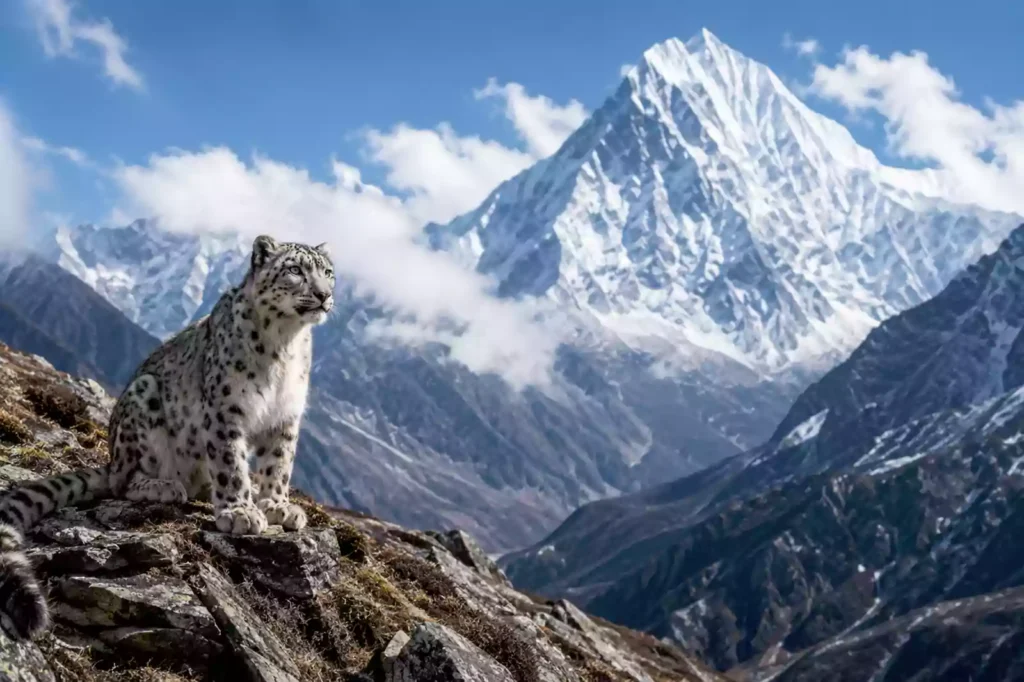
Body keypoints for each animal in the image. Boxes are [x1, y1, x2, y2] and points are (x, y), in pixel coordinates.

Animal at [0, 234, 334, 640]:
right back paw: (163, 486)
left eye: (328, 272)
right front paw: (240, 511)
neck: (285, 345)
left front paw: (276, 504)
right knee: (124, 483)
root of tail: (111, 459)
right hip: (142, 403)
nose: (323, 295)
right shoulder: (226, 411)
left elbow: (278, 465)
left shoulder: (285, 418)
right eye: (295, 270)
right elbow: (230, 463)